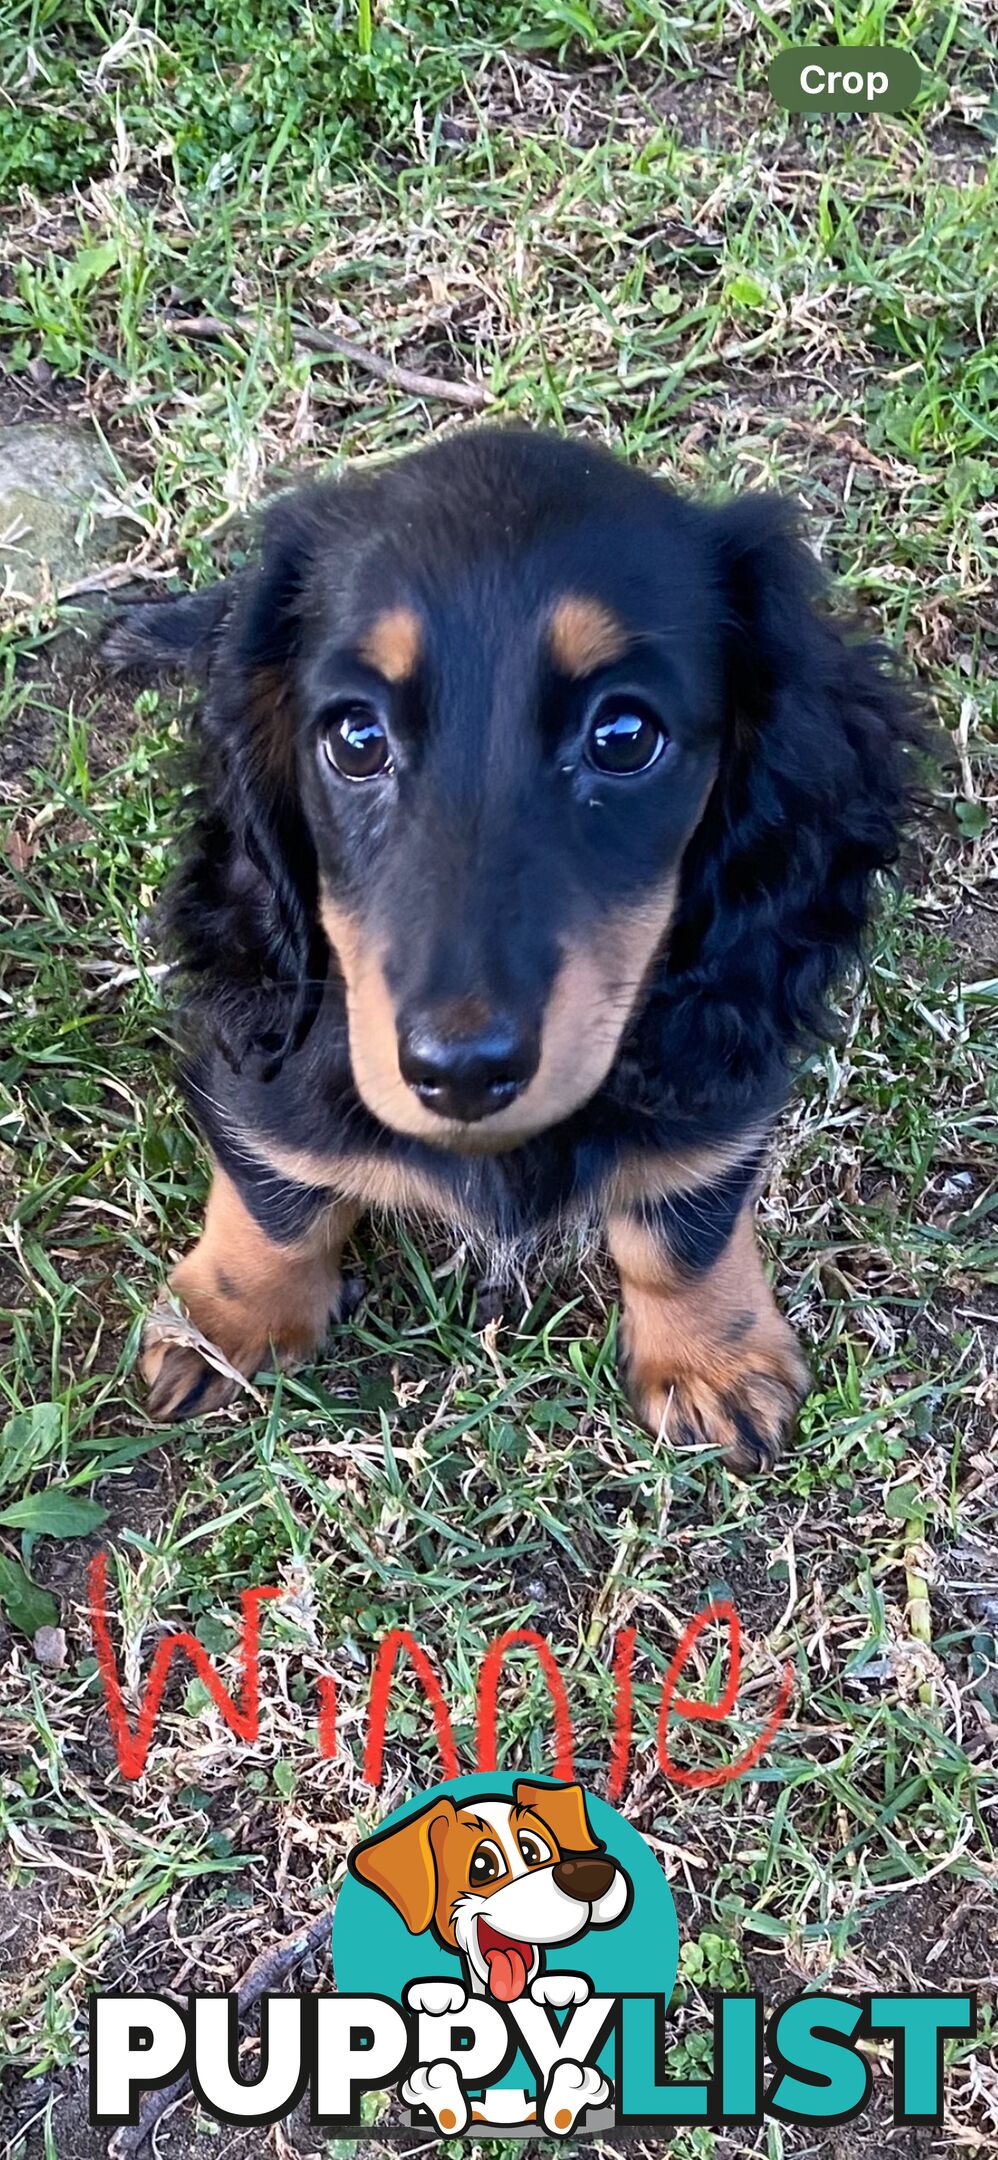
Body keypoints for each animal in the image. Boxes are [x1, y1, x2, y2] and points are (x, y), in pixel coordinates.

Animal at [107, 421, 920, 1468]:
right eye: (356, 737)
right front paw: (222, 1319)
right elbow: (276, 1194)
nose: (461, 1073)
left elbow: (685, 1216)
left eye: (624, 735)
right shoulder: (265, 1068)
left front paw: (713, 1356)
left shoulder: (712, 1065)